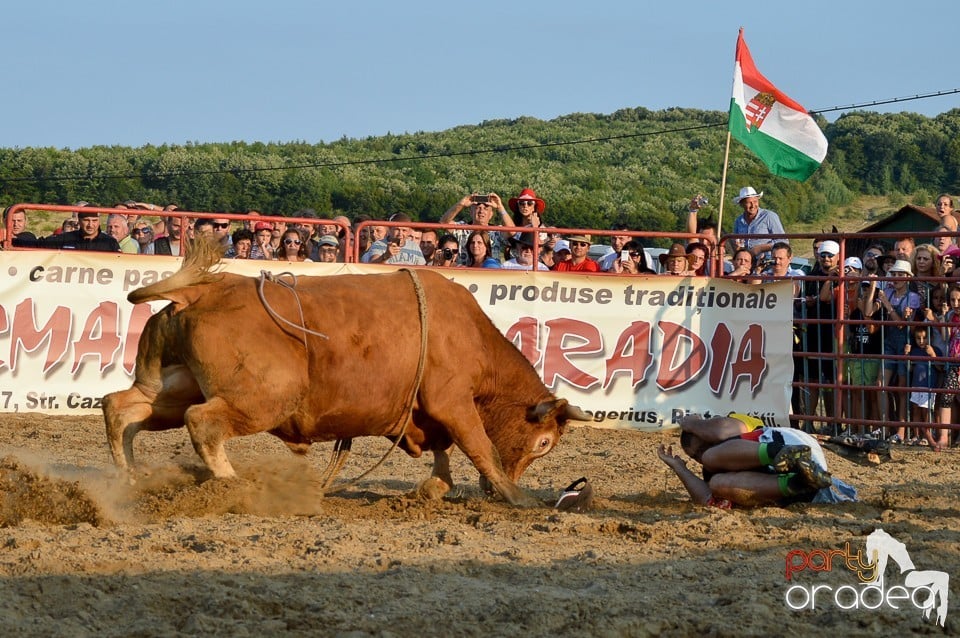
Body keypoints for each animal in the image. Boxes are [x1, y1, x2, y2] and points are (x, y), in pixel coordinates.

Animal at [101, 240, 588, 504]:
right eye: (544, 442)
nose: (489, 492)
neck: (467, 332)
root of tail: (202, 291)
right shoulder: (452, 400)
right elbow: (479, 446)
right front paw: (516, 496)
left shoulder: (428, 411)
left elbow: (442, 449)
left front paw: (436, 486)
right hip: (266, 397)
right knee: (201, 422)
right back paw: (234, 484)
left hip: (171, 384)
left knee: (121, 408)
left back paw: (129, 477)